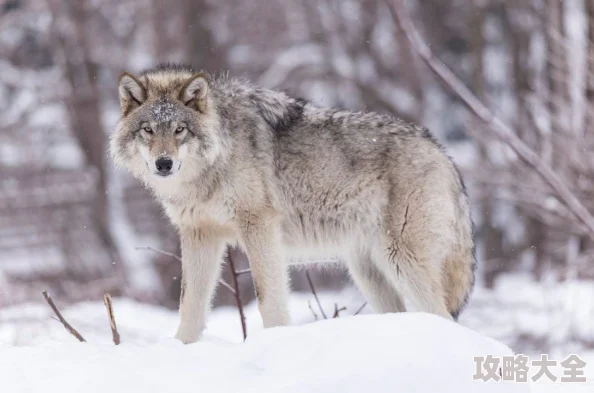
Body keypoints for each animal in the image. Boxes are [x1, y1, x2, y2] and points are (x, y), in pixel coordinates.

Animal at [110, 62, 472, 342]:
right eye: (148, 130)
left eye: (180, 129)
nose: (164, 164)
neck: (214, 162)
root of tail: (442, 152)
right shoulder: (199, 233)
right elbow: (190, 304)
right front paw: (183, 347)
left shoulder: (259, 226)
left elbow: (268, 297)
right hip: (369, 271)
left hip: (401, 261)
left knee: (443, 315)